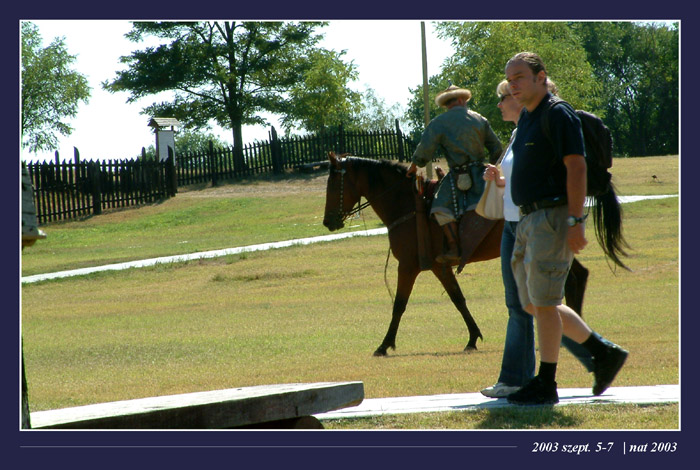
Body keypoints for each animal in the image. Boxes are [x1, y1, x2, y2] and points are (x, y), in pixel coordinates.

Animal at [322, 153, 589, 356]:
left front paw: (384, 344)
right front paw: (473, 337)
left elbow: (399, 304)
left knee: (571, 280)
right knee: (579, 276)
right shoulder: (439, 268)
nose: (327, 222)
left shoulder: (407, 267)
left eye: (333, 185)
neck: (407, 204)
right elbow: (457, 299)